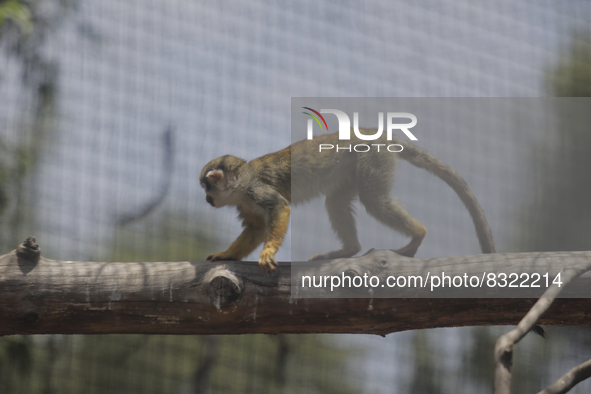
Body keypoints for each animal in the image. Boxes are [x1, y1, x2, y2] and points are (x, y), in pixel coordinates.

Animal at [199, 131, 494, 272]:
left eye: (206, 187)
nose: (206, 199)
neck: (240, 184)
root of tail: (377, 133)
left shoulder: (255, 190)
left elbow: (279, 208)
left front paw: (268, 253)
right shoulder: (244, 201)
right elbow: (257, 228)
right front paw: (227, 254)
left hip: (373, 156)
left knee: (373, 200)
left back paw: (418, 235)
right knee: (336, 201)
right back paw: (349, 249)